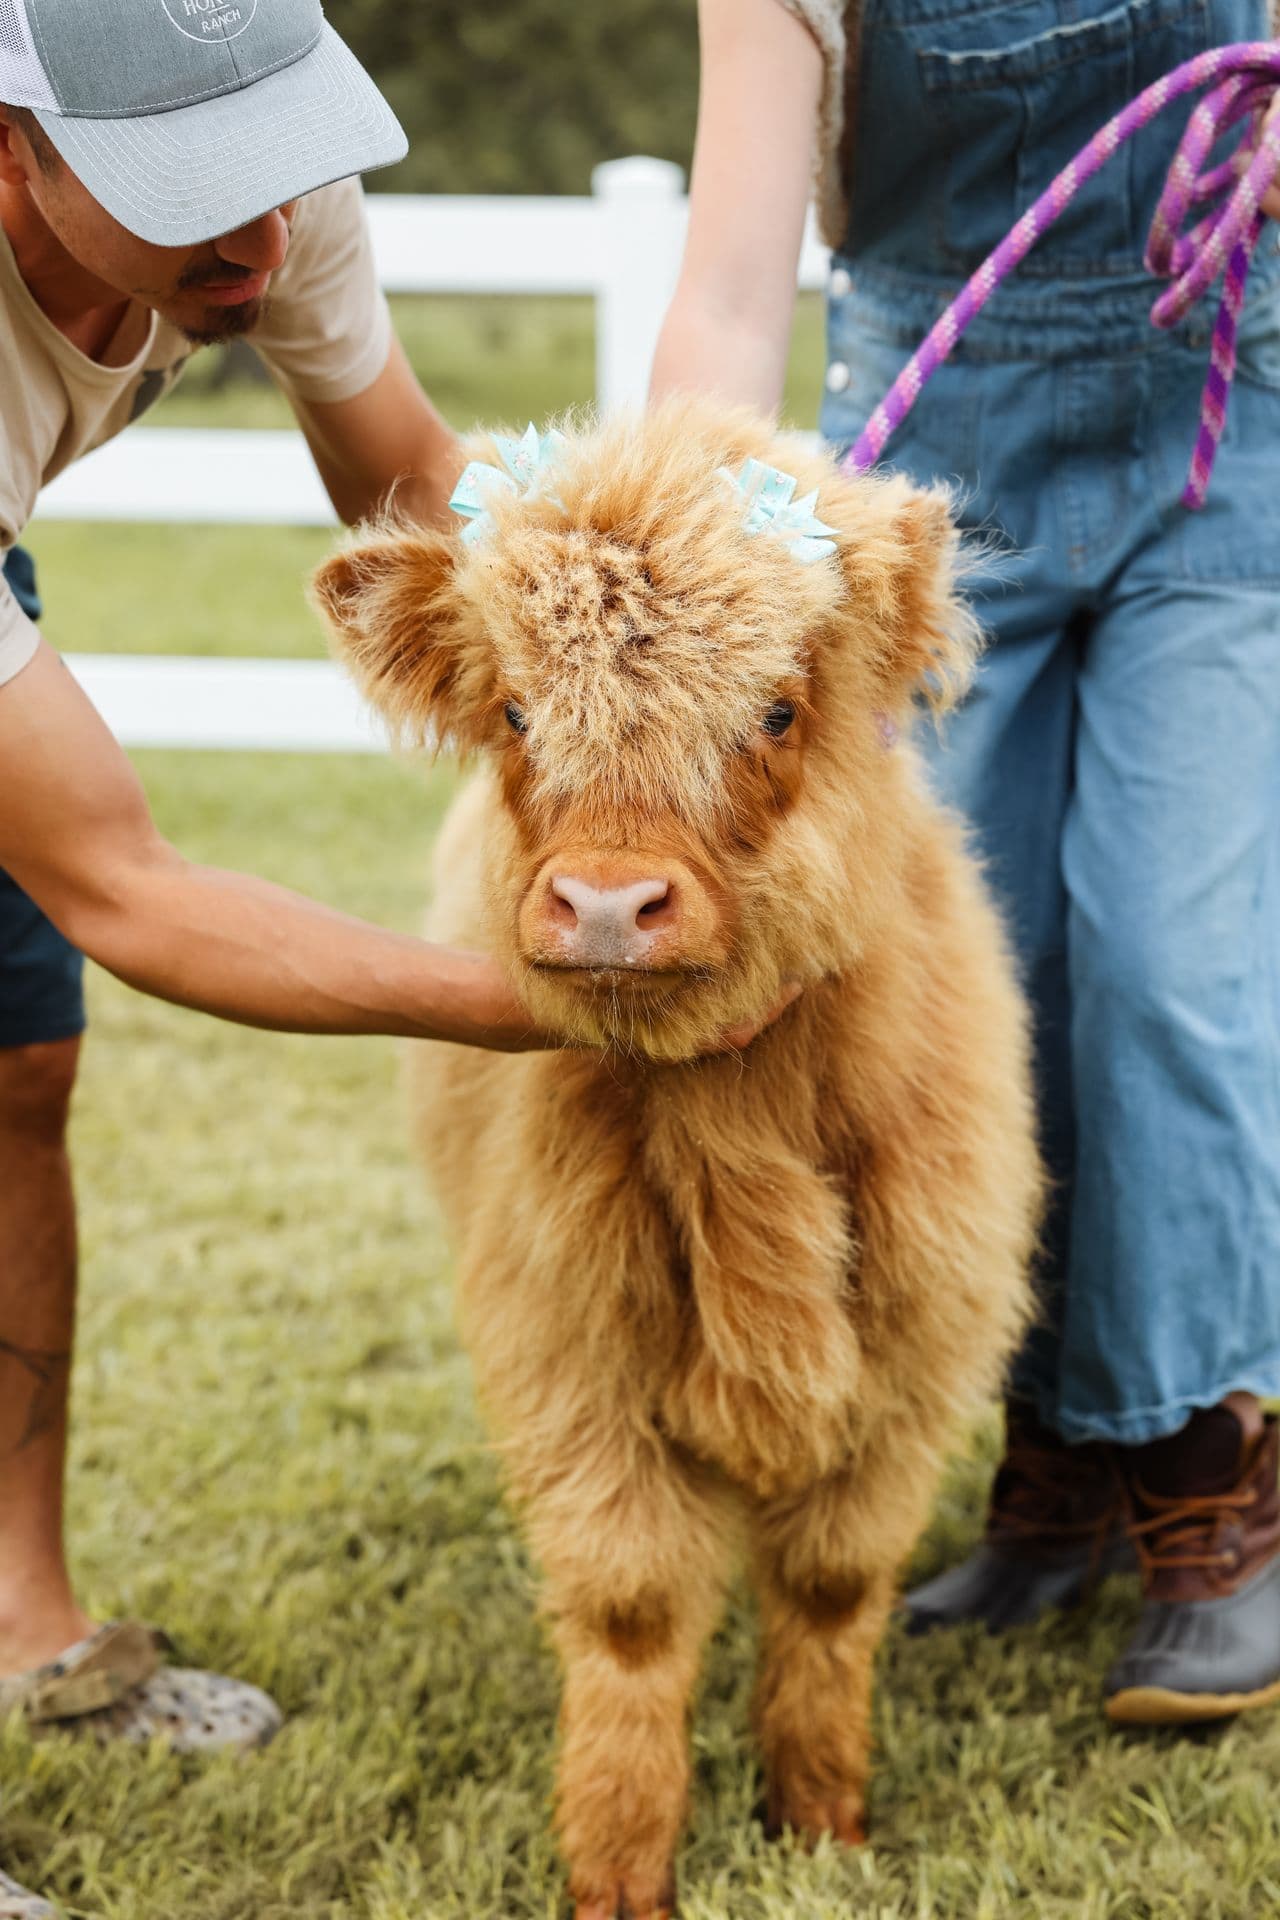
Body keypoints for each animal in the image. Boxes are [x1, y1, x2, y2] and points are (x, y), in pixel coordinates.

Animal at [313, 398, 1042, 1920]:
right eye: (516, 711)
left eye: (775, 708)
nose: (606, 904)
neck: (738, 1131)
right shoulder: (573, 1363)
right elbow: (634, 1615)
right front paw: (618, 1872)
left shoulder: (909, 1368)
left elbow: (829, 1593)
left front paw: (821, 1825)